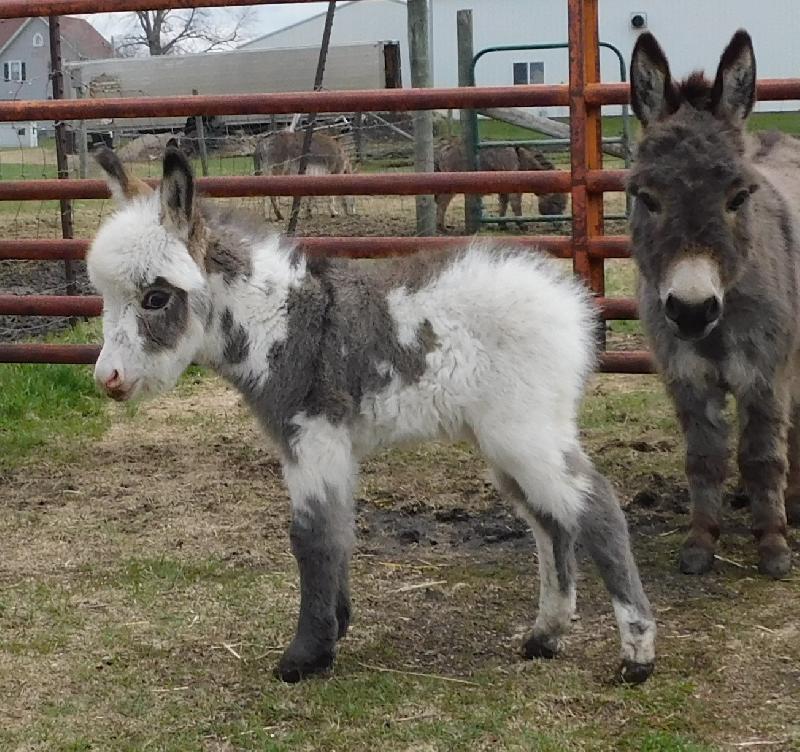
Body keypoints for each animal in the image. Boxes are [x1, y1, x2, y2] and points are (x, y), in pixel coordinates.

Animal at [86, 145, 656, 680]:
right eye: (107, 298)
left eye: (156, 298)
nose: (106, 379)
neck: (280, 324)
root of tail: (569, 304)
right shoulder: (326, 447)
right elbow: (337, 531)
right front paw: (334, 629)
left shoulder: (311, 436)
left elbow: (312, 537)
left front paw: (305, 656)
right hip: (504, 441)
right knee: (552, 520)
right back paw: (545, 636)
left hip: (524, 432)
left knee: (597, 509)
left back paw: (637, 656)